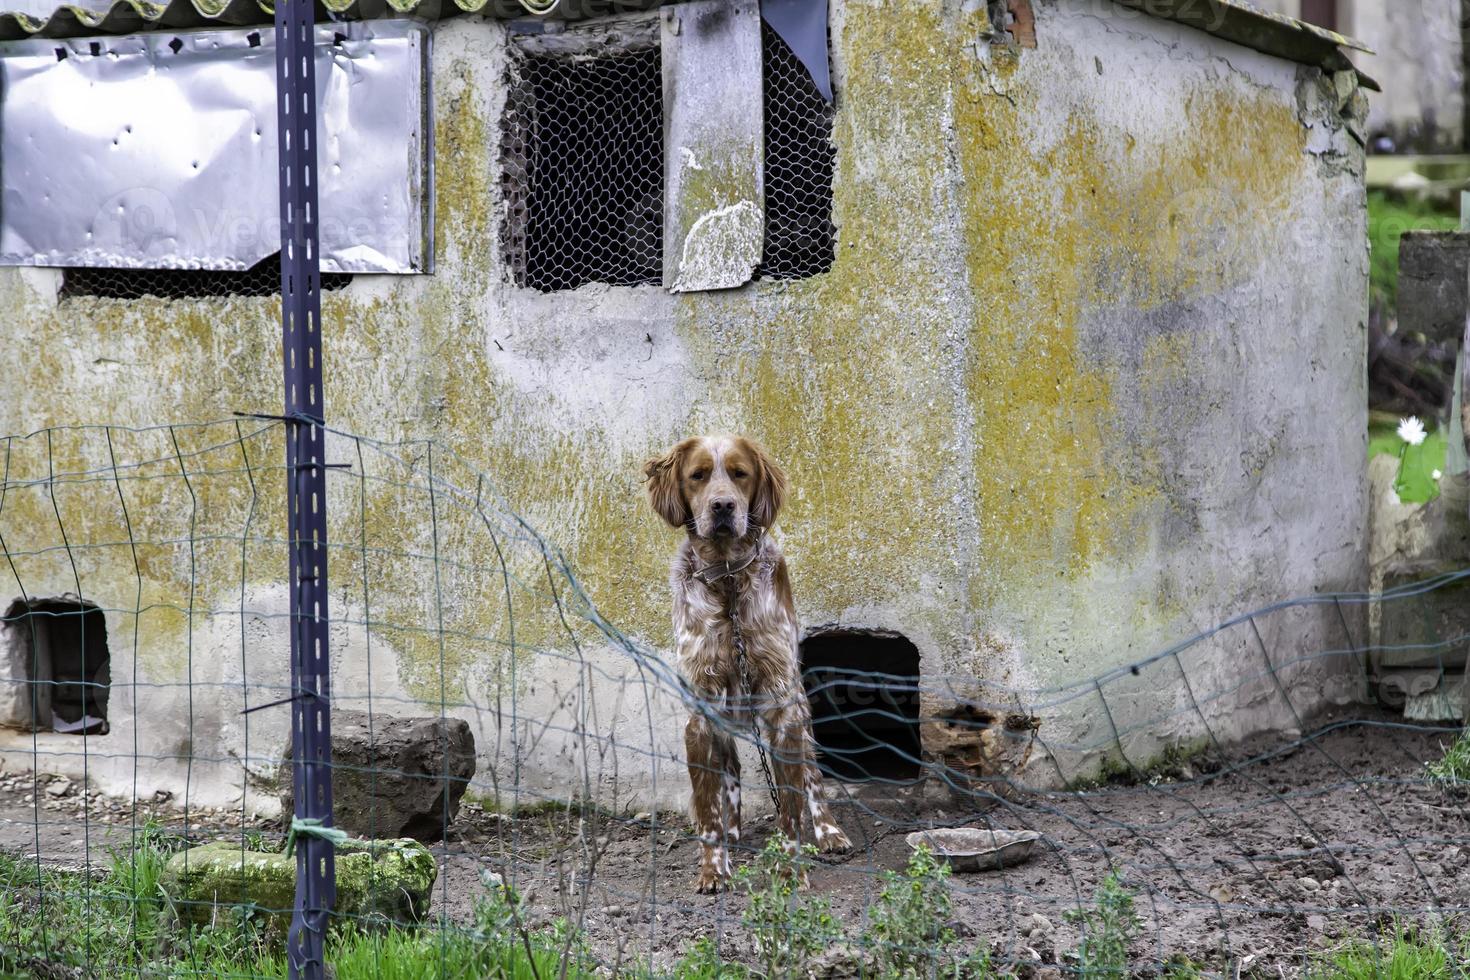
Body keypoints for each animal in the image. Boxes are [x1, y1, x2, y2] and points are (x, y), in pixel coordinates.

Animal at [643, 431, 852, 893]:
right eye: (698, 476)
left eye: (740, 474)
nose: (723, 506)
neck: (727, 579)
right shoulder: (700, 712)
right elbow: (708, 807)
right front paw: (713, 868)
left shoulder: (782, 707)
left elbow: (791, 807)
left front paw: (790, 868)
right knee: (732, 771)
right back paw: (734, 833)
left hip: (798, 706)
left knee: (812, 776)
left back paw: (829, 832)